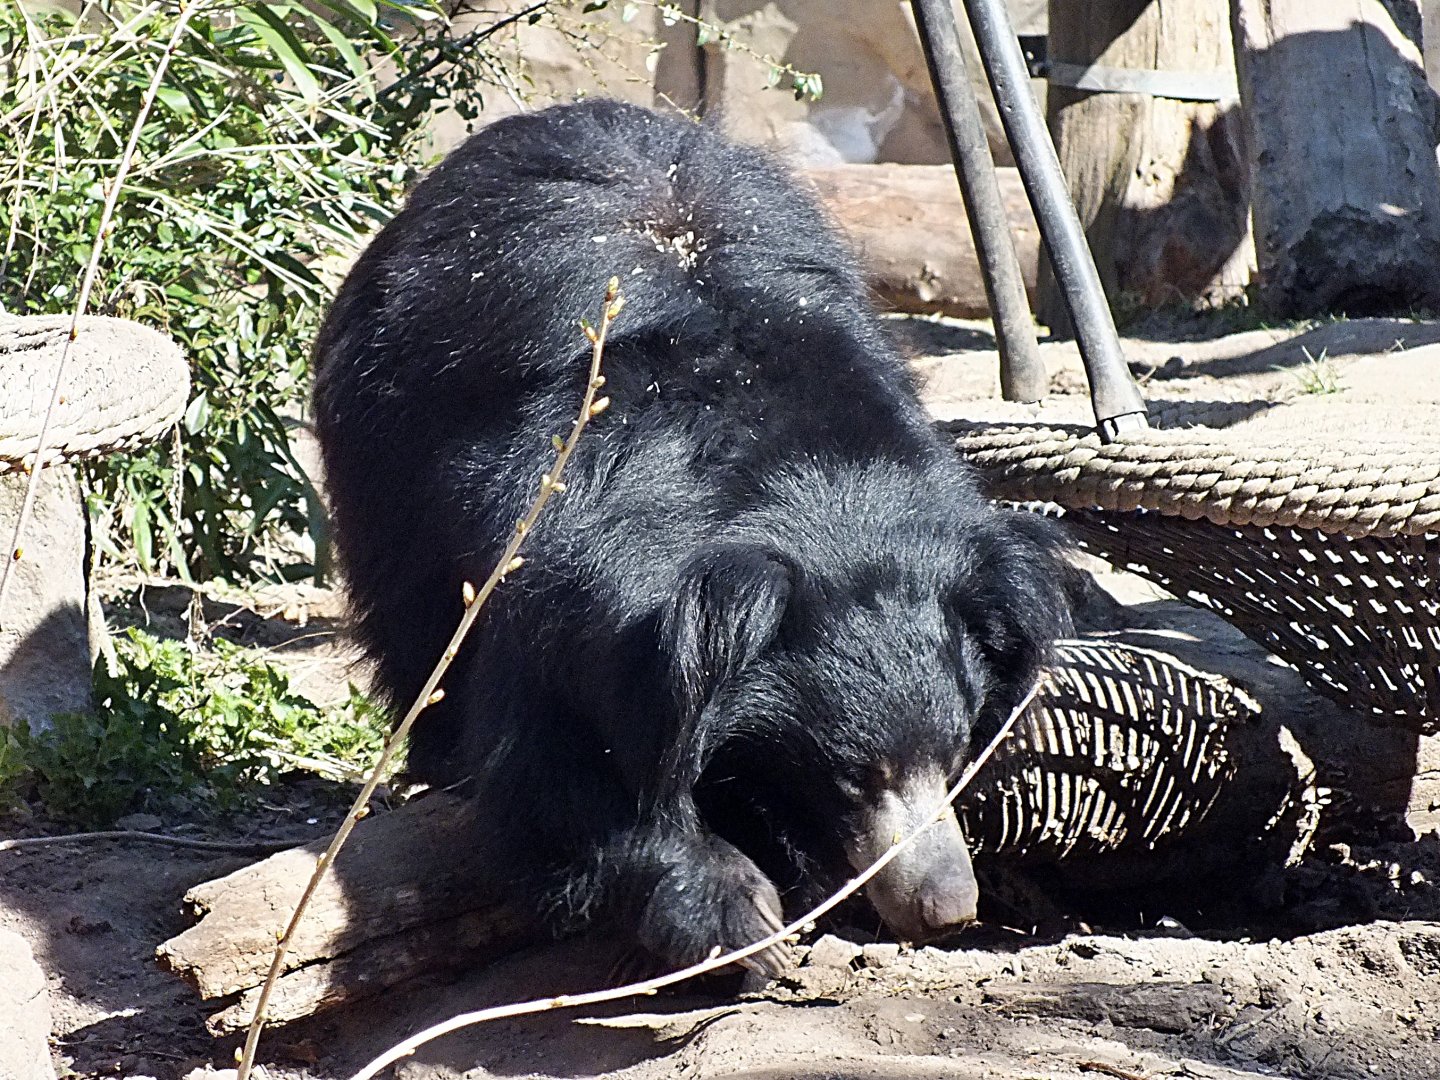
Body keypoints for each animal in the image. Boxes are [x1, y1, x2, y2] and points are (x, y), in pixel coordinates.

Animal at [311, 99, 1071, 977]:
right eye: (856, 778)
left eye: (953, 757)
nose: (947, 908)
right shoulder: (562, 559)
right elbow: (551, 761)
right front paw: (737, 914)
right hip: (384, 451)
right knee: (416, 619)